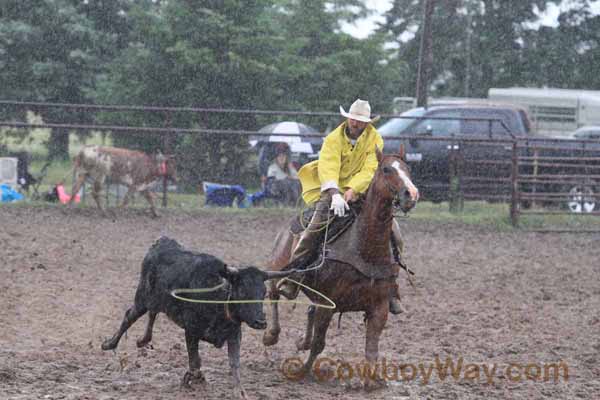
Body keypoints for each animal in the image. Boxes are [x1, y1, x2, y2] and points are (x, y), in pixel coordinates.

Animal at [260, 146, 420, 388]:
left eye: (408, 169)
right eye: (386, 169)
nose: (411, 194)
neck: (364, 247)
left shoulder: (379, 307)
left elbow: (371, 348)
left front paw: (373, 381)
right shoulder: (328, 304)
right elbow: (319, 343)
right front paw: (302, 370)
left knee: (308, 310)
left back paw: (301, 342)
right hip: (279, 267)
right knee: (274, 293)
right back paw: (271, 335)